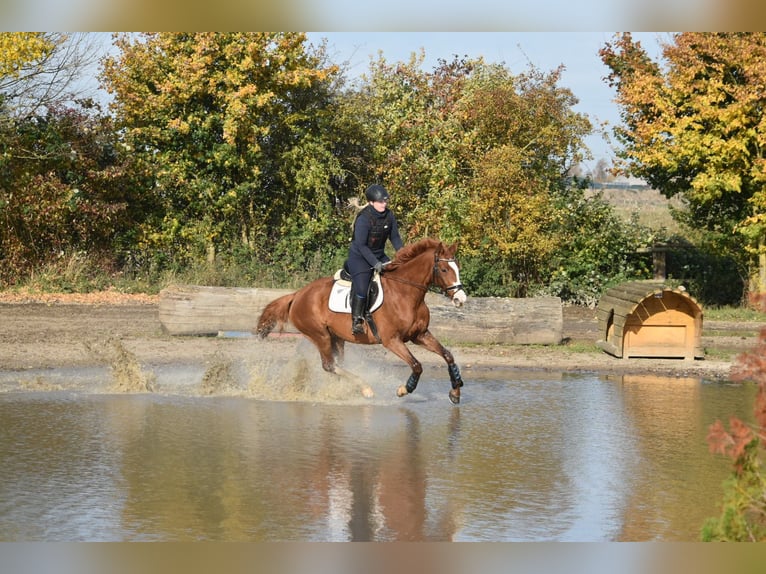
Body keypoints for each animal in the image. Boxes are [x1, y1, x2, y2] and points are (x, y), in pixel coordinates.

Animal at [255, 238, 468, 404]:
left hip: (336, 337)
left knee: (337, 364)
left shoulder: (420, 335)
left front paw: (456, 391)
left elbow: (448, 355)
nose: (461, 299)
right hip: (319, 335)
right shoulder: (392, 340)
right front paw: (403, 390)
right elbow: (417, 365)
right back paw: (365, 388)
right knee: (329, 365)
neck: (406, 294)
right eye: (443, 269)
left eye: (457, 268)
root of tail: (298, 294)